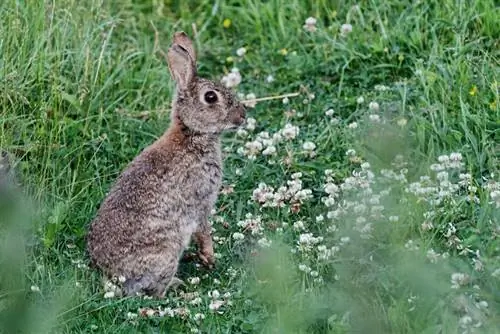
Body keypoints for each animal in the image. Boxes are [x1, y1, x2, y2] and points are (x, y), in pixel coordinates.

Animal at [88, 31, 248, 298]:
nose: (243, 116)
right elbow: (204, 231)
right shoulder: (201, 202)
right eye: (210, 97)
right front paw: (209, 258)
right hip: (167, 251)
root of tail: (113, 276)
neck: (190, 134)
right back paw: (176, 285)